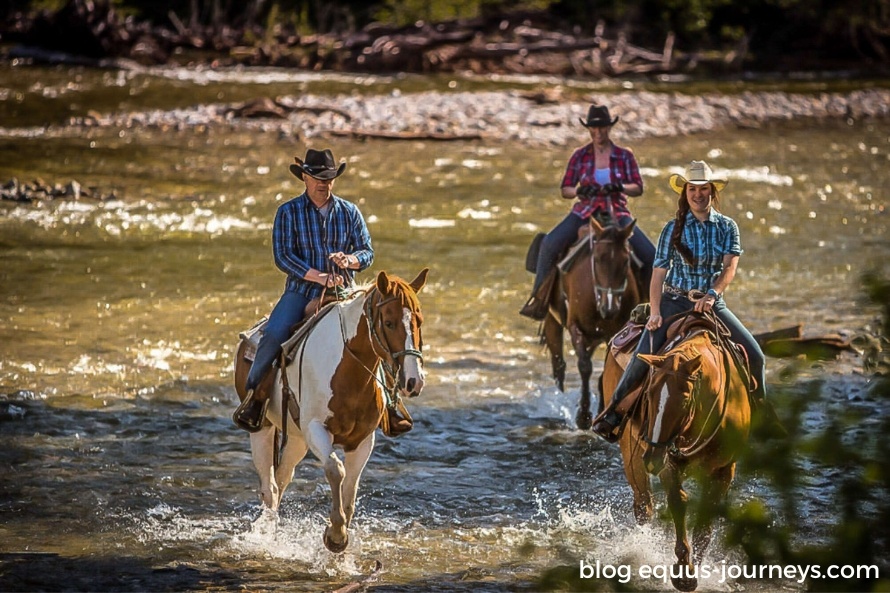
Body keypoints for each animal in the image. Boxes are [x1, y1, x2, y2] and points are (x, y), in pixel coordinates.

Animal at [232, 270, 426, 552]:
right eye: (389, 323)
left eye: (419, 321)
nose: (414, 381)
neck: (349, 370)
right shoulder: (316, 429)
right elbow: (336, 470)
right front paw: (335, 535)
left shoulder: (363, 440)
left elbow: (350, 488)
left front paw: (340, 532)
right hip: (263, 430)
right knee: (269, 487)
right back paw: (267, 536)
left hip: (297, 439)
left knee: (282, 478)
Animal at [536, 215, 640, 428]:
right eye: (598, 258)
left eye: (626, 260)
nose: (610, 308)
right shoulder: (575, 327)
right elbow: (584, 366)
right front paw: (583, 416)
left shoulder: (615, 334)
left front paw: (601, 410)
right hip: (553, 322)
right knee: (559, 366)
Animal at [596, 312, 748, 588]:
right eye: (648, 393)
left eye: (686, 399)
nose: (652, 458)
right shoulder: (668, 463)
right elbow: (679, 501)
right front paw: (683, 572)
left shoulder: (724, 469)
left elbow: (705, 524)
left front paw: (695, 568)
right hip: (631, 451)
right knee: (643, 506)